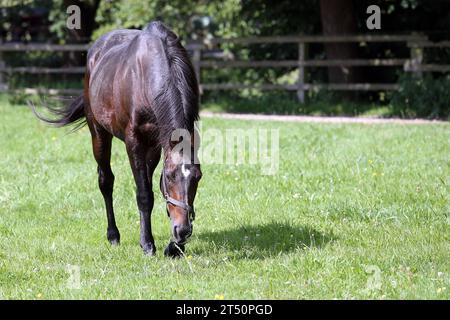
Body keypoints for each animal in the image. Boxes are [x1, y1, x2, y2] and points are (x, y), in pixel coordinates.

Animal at [34, 21, 202, 258]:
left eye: (198, 177)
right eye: (170, 177)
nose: (183, 231)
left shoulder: (155, 145)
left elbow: (153, 190)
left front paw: (174, 246)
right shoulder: (134, 142)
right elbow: (144, 195)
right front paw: (147, 244)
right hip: (98, 134)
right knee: (105, 181)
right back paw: (113, 235)